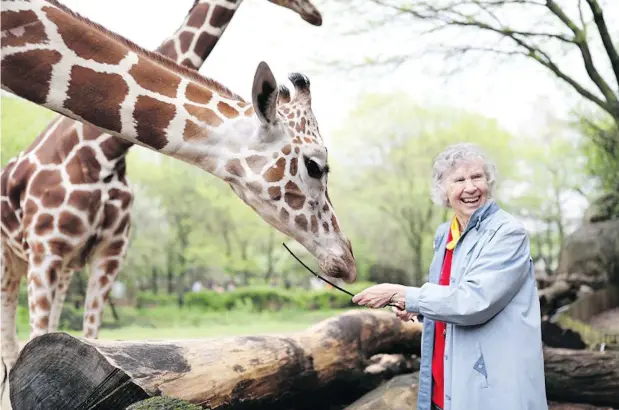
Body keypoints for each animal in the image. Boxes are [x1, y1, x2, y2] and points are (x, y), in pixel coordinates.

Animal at [0, 0, 356, 378]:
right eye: (315, 165)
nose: (347, 261)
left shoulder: (106, 254)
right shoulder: (46, 250)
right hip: (14, 260)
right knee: (10, 347)